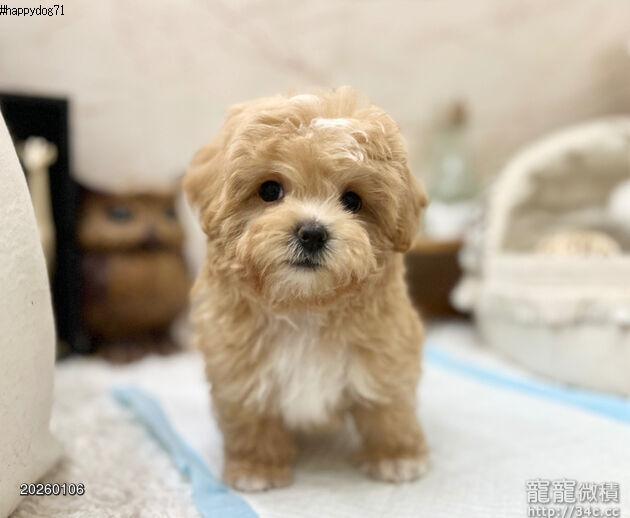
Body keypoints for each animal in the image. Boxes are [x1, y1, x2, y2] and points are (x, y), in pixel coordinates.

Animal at [185, 87, 429, 491]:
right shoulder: (238, 369)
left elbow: (387, 407)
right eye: (270, 190)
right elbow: (252, 419)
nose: (312, 233)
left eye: (352, 200)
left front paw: (396, 456)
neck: (304, 305)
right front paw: (257, 468)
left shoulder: (385, 351)